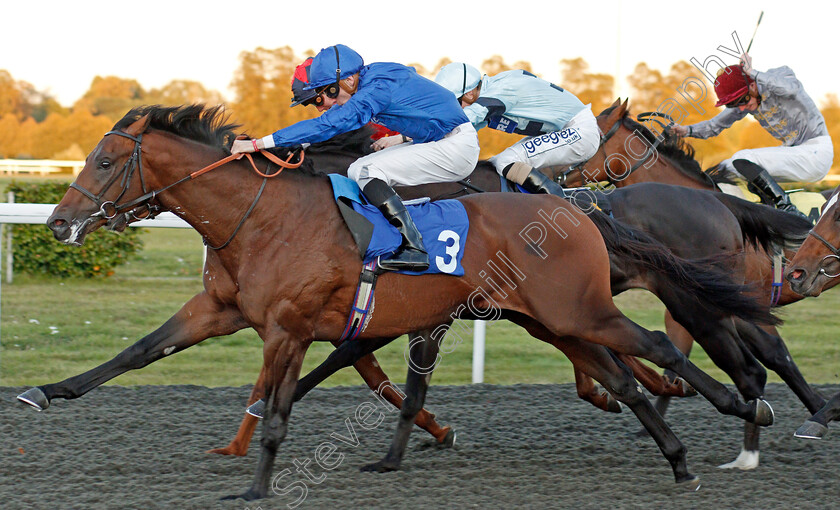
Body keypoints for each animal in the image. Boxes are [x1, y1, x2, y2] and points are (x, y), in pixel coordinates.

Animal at [14, 103, 776, 498]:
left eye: (105, 161)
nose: (57, 224)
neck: (264, 216)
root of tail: (576, 211)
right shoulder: (227, 311)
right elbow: (139, 352)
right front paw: (44, 392)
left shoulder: (292, 327)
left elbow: (285, 408)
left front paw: (257, 483)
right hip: (552, 319)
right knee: (624, 371)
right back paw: (679, 451)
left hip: (577, 310)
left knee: (657, 348)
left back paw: (742, 409)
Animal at [560, 98, 832, 466]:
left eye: (593, 135)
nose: (558, 175)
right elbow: (773, 358)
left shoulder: (731, 302)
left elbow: (769, 360)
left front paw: (749, 450)